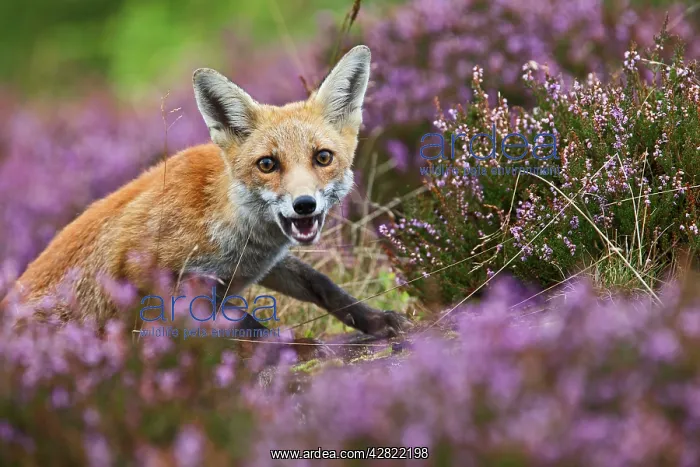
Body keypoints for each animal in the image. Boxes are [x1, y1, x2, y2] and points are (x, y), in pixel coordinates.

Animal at [1, 45, 409, 338]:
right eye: (267, 164)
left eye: (322, 157)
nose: (304, 205)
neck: (224, 217)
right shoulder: (155, 277)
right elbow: (254, 328)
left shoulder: (259, 266)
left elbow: (322, 285)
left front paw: (375, 320)